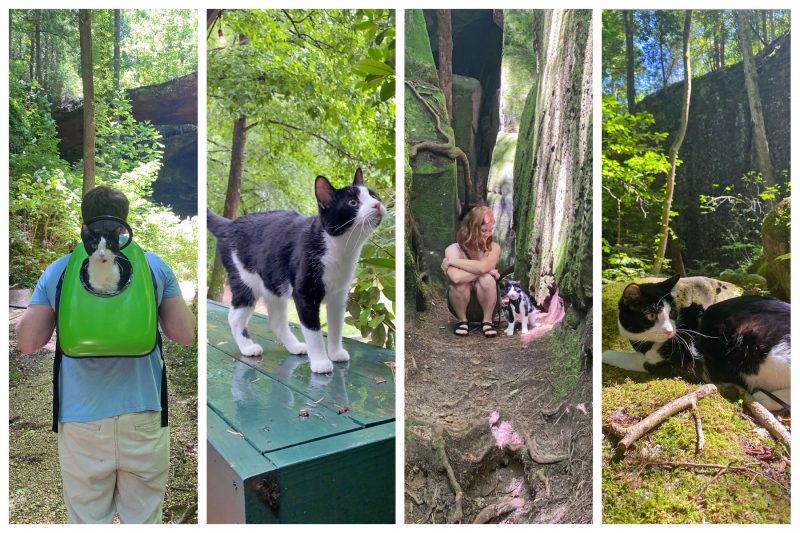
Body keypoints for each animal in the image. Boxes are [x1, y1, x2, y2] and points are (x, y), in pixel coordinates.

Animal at [208, 168, 386, 372]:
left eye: (373, 195)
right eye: (353, 203)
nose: (377, 204)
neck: (340, 249)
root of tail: (229, 225)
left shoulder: (339, 296)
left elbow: (336, 327)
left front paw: (335, 353)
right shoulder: (304, 294)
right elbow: (314, 332)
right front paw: (321, 362)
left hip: (273, 284)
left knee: (276, 321)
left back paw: (294, 347)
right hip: (245, 280)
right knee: (235, 317)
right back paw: (248, 348)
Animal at [604, 276, 792, 410]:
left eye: (671, 313)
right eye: (651, 316)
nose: (670, 331)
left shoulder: (685, 363)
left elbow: (638, 360)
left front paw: (605, 353)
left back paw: (764, 397)